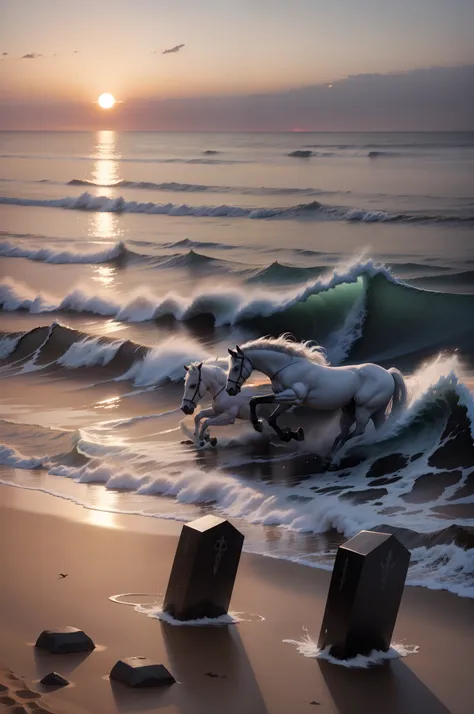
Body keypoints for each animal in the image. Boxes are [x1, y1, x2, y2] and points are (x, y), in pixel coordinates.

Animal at [226, 336, 408, 448]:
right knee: (373, 427)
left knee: (357, 431)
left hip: (364, 409)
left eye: (235, 368)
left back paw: (334, 453)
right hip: (365, 410)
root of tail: (388, 373)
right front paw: (291, 435)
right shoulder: (287, 400)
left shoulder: (293, 395)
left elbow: (255, 400)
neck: (287, 367)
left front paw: (258, 425)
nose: (230, 390)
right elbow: (271, 418)